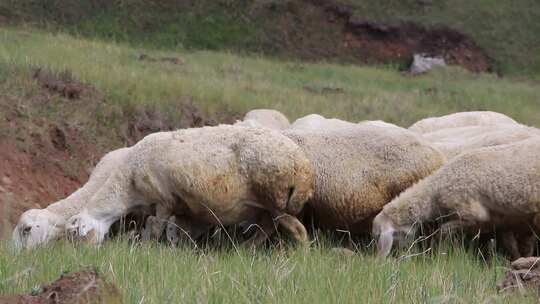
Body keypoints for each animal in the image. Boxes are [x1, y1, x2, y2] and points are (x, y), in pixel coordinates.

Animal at [65, 126, 314, 247]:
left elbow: (156, 229)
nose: (76, 257)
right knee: (267, 228)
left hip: (276, 199)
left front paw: (148, 250)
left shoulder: (164, 200)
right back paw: (246, 250)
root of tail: (304, 168)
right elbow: (178, 232)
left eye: (76, 235)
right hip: (268, 206)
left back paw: (301, 256)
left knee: (298, 231)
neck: (128, 186)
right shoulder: (184, 207)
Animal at [374, 138, 540, 258]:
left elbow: (443, 230)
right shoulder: (502, 219)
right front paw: (517, 259)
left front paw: (442, 252)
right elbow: (510, 244)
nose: (397, 257)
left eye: (378, 237)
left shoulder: (472, 213)